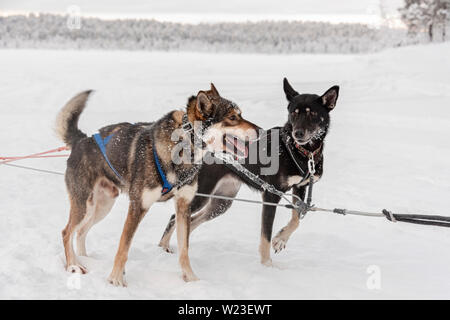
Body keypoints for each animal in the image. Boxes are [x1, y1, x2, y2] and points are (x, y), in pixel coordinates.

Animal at [55, 84, 258, 286]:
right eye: (233, 117)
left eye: (240, 114)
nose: (260, 130)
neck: (184, 143)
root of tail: (82, 140)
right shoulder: (138, 206)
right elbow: (123, 247)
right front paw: (115, 279)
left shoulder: (184, 206)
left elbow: (184, 250)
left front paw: (191, 279)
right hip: (84, 205)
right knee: (66, 232)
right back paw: (73, 265)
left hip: (102, 206)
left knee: (81, 231)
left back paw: (85, 258)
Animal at [160, 78, 340, 264]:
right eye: (294, 113)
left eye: (312, 113)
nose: (298, 133)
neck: (299, 151)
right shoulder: (271, 196)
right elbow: (265, 236)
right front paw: (267, 265)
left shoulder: (300, 188)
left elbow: (296, 218)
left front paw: (281, 239)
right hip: (200, 195)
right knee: (175, 218)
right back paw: (163, 248)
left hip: (221, 203)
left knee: (191, 221)